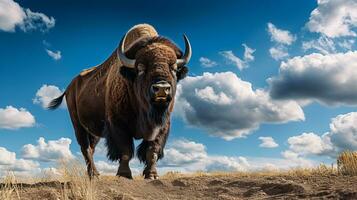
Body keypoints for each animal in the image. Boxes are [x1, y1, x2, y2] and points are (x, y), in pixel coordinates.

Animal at [49, 24, 192, 179]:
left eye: (174, 68)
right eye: (140, 68)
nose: (161, 88)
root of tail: (69, 87)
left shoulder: (161, 126)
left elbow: (152, 150)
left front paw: (152, 175)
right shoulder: (118, 124)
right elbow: (125, 150)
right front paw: (124, 174)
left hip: (94, 132)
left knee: (91, 148)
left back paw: (95, 174)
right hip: (78, 125)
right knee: (85, 148)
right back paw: (94, 175)